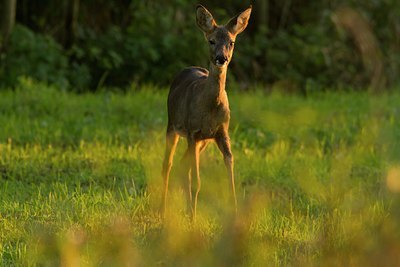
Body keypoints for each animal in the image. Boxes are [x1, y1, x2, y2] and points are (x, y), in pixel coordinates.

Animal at [162, 4, 250, 220]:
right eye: (211, 41)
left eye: (231, 42)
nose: (221, 58)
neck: (209, 108)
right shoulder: (193, 132)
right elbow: (197, 181)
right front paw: (193, 219)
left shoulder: (221, 132)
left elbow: (230, 179)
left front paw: (235, 215)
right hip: (173, 125)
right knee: (167, 164)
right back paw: (162, 209)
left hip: (203, 141)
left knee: (182, 166)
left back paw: (185, 210)